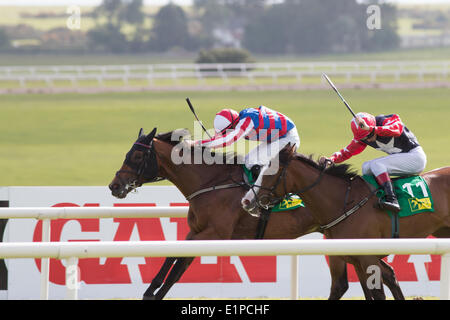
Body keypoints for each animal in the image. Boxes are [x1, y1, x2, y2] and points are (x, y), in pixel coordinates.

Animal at [109, 127, 408, 300]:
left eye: (136, 157)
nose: (114, 186)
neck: (211, 181)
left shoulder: (215, 234)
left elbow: (176, 264)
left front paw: (152, 293)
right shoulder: (196, 232)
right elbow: (173, 261)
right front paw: (151, 291)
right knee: (379, 275)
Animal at [243, 145, 450, 300]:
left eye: (270, 172)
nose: (246, 201)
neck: (344, 202)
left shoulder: (368, 258)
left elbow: (377, 293)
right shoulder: (353, 258)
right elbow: (351, 290)